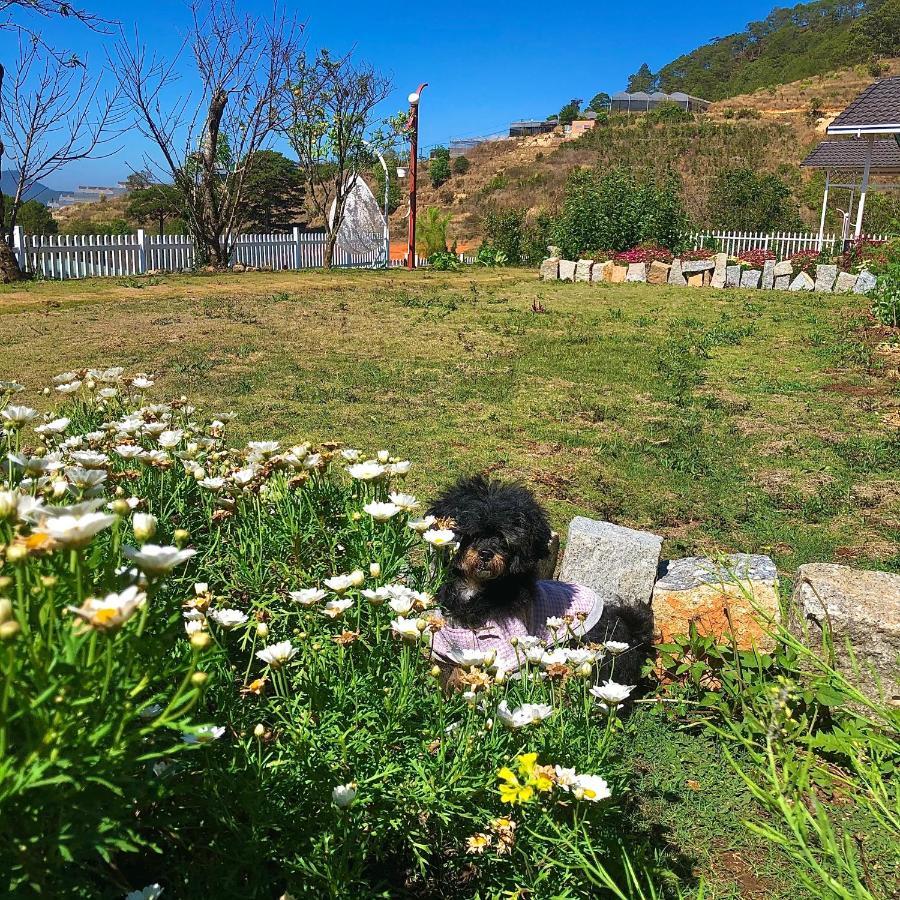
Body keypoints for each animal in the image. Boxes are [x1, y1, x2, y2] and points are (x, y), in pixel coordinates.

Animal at [428, 474, 652, 684]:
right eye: (471, 534)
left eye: (505, 539)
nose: (485, 553)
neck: (477, 588)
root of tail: (629, 630)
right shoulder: (446, 650)